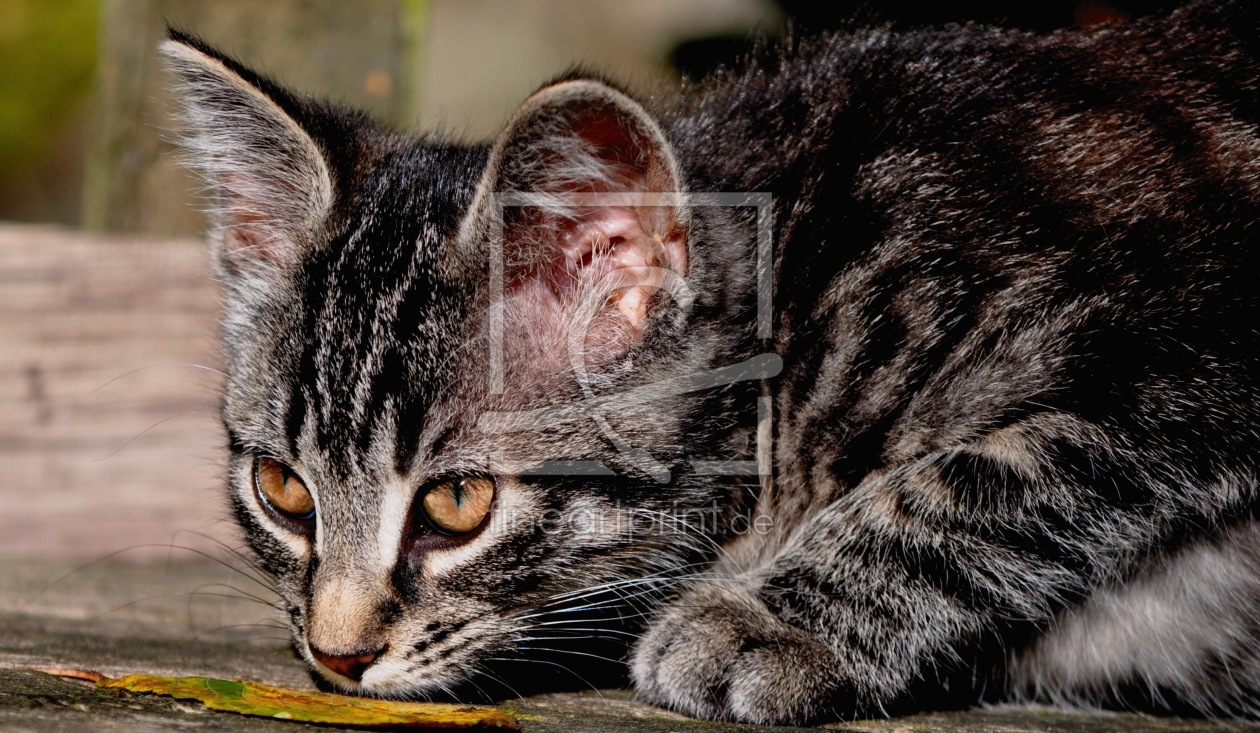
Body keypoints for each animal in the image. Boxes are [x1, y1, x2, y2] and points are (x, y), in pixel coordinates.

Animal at [162, 0, 1260, 725]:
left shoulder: (1195, 357)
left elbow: (983, 475)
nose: (336, 654)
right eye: (281, 490)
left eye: (458, 503)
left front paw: (765, 623)